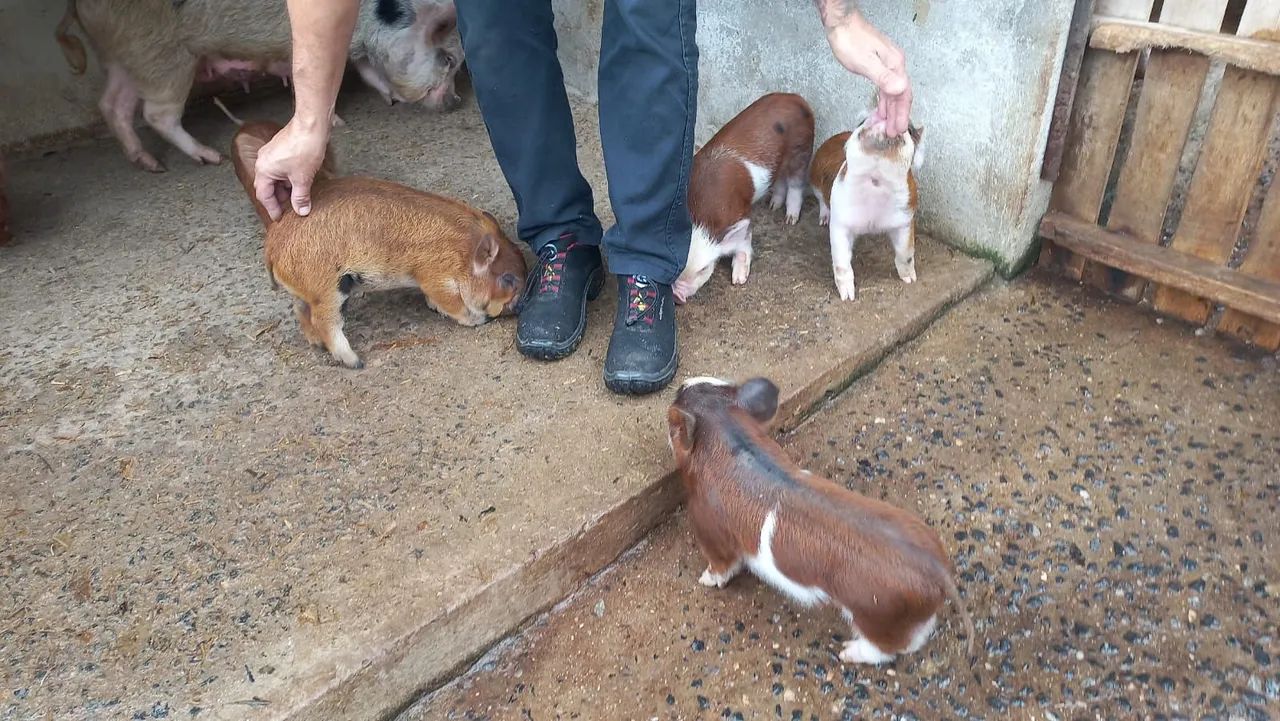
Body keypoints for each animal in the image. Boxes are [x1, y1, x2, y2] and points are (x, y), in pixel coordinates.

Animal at [54, 0, 463, 172]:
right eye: (447, 59)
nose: (458, 102)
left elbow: (366, 70)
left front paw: (390, 99)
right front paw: (340, 123)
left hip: (121, 55)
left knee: (112, 105)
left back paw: (149, 164)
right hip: (160, 54)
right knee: (156, 114)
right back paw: (209, 157)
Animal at [229, 119, 526, 369]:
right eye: (508, 279)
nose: (521, 303)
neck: (464, 251)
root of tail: (273, 241)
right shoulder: (433, 274)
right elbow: (452, 303)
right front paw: (477, 320)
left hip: (308, 290)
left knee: (300, 310)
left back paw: (317, 345)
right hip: (326, 287)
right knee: (325, 320)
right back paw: (355, 362)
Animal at [667, 376, 975, 665]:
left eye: (673, 412)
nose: (683, 382)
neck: (727, 435)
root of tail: (938, 568)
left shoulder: (709, 529)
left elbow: (722, 565)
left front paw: (705, 581)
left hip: (875, 612)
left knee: (890, 647)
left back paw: (847, 652)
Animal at [673, 93, 815, 304]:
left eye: (704, 269)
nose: (677, 296)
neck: (701, 215)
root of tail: (795, 97)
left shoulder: (741, 215)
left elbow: (744, 243)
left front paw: (739, 280)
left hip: (802, 149)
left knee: (796, 184)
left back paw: (790, 219)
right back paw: (773, 205)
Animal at [810, 113, 924, 301]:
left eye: (909, 129)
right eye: (861, 122)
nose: (882, 115)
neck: (875, 182)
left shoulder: (905, 218)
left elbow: (906, 252)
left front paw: (910, 280)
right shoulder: (841, 222)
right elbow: (841, 261)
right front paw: (847, 297)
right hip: (815, 180)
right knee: (821, 201)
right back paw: (823, 220)